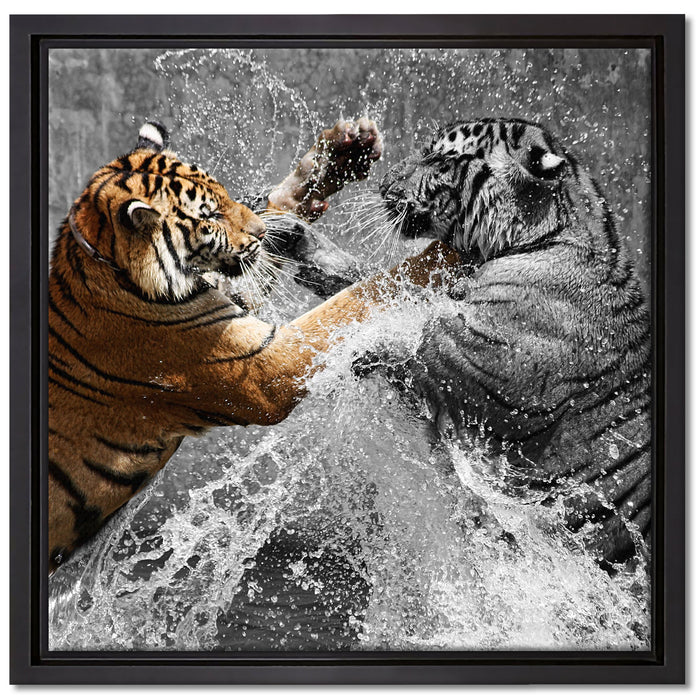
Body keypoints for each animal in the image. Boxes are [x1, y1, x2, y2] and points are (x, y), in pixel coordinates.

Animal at [48, 119, 461, 572]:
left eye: (226, 195)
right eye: (209, 216)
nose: (262, 233)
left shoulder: (234, 298)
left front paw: (341, 153)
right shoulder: (265, 369)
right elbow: (352, 299)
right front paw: (442, 256)